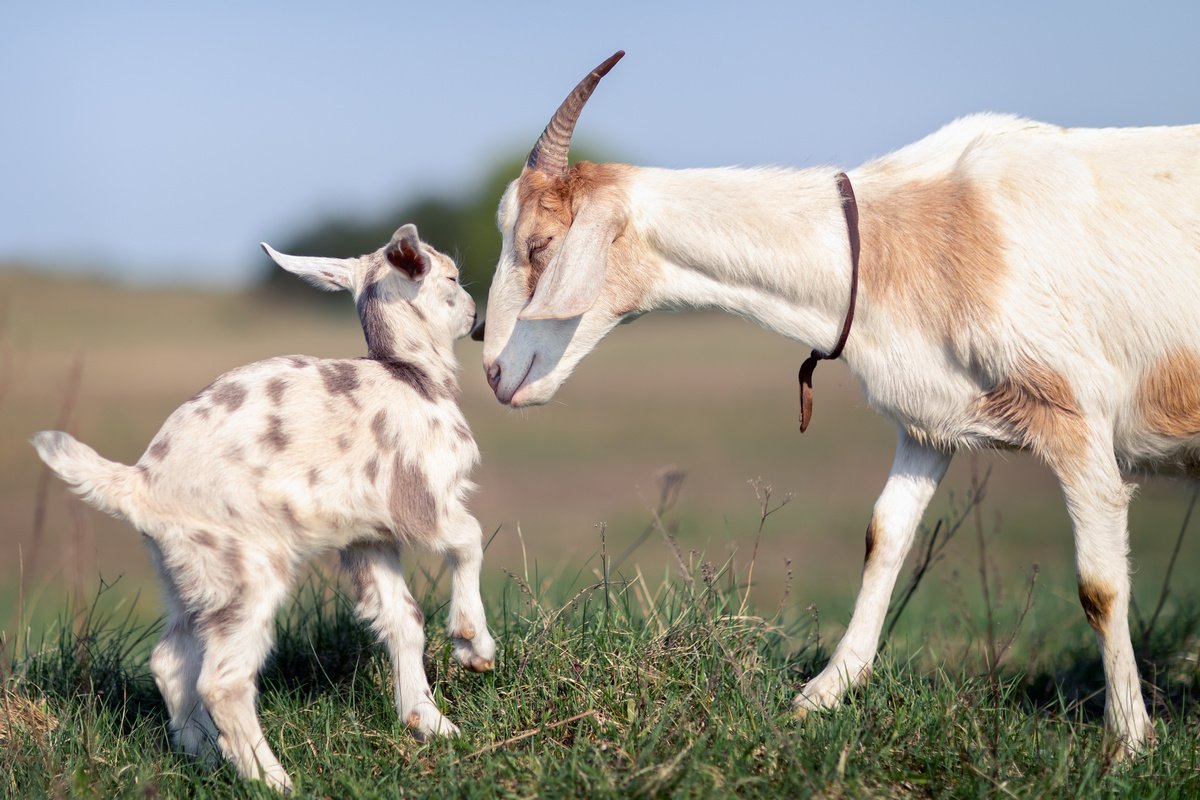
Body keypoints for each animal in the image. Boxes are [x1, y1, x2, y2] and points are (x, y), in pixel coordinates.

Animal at [32, 225, 494, 796]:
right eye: (450, 276)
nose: (477, 316)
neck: (412, 376)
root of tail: (139, 484)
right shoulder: (422, 498)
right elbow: (470, 539)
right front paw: (475, 647)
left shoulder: (367, 537)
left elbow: (402, 618)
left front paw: (430, 723)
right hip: (248, 572)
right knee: (222, 681)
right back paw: (271, 778)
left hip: (190, 576)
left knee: (170, 662)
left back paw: (206, 756)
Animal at [477, 51, 1200, 758]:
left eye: (540, 246)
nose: (492, 370)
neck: (908, 232)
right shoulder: (928, 426)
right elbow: (885, 536)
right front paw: (824, 693)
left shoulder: (1076, 420)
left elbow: (1099, 587)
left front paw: (1129, 742)